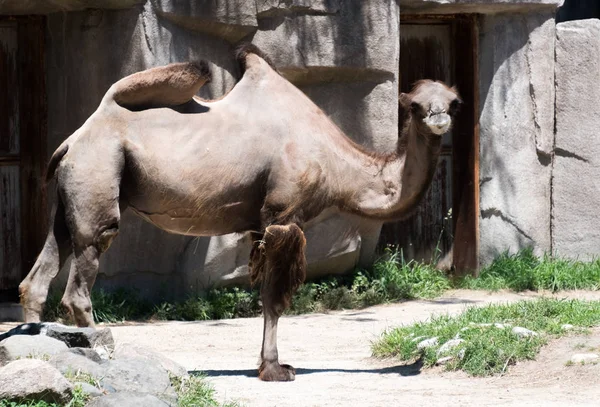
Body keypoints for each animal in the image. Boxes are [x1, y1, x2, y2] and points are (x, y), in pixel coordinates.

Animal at [17, 44, 460, 382]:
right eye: (416, 106)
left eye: (453, 102)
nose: (440, 118)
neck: (336, 166)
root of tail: (79, 135)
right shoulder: (283, 214)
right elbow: (275, 298)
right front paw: (275, 370)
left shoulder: (259, 225)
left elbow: (265, 295)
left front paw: (269, 364)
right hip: (98, 173)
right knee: (85, 267)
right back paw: (102, 350)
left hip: (71, 193)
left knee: (40, 272)